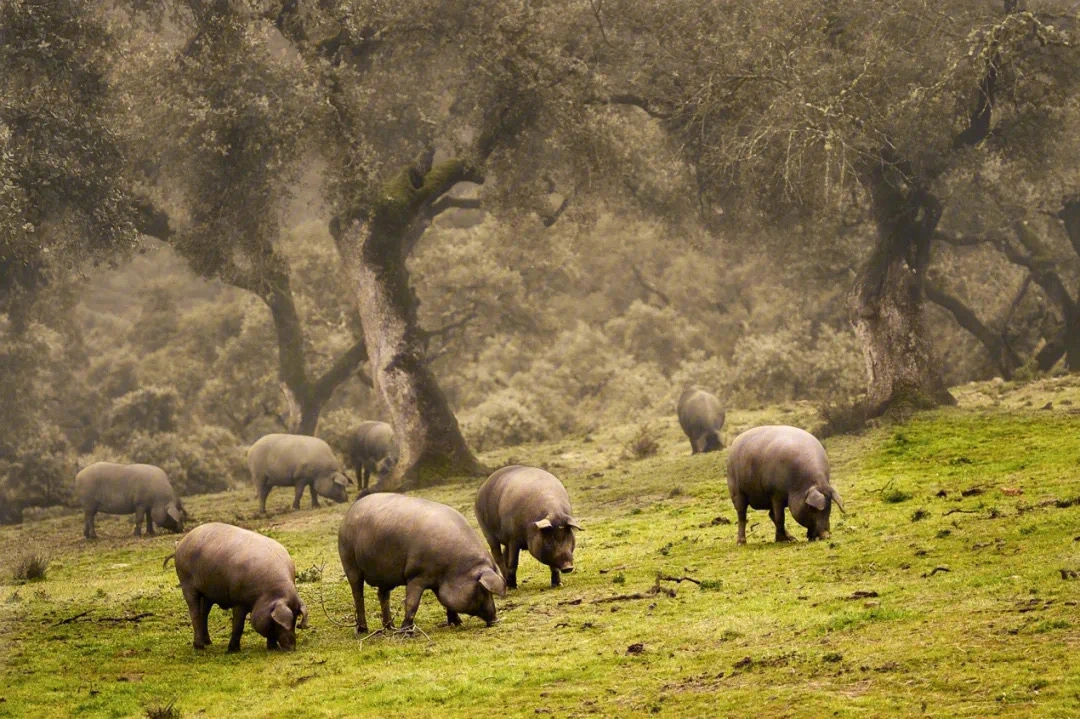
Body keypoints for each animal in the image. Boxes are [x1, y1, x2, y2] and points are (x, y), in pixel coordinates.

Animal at [164, 520, 308, 647]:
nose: (292, 647)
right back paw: (199, 646)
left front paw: (272, 648)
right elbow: (238, 626)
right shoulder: (239, 601)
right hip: (186, 583)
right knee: (194, 612)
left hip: (208, 592)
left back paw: (208, 643)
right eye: (280, 624)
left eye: (295, 620)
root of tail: (180, 543)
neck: (266, 593)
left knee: (204, 613)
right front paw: (232, 650)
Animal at [336, 492, 505, 634]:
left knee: (382, 595)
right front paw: (406, 632)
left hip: (385, 575)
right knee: (358, 595)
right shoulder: (417, 575)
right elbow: (412, 603)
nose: (496, 621)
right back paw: (363, 630)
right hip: (349, 561)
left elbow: (445, 602)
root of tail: (348, 513)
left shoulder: (437, 582)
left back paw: (390, 628)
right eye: (482, 589)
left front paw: (458, 623)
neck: (453, 568)